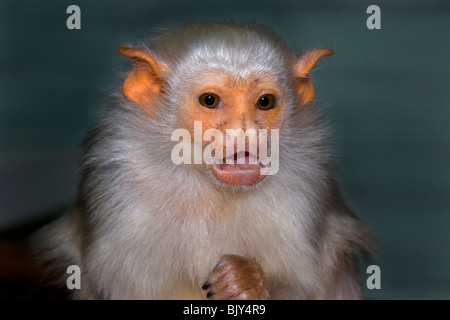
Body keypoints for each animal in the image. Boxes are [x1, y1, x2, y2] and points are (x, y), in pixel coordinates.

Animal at [32, 21, 372, 300]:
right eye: (210, 100)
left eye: (265, 102)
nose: (246, 133)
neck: (207, 183)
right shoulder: (118, 180)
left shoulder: (306, 182)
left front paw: (245, 282)